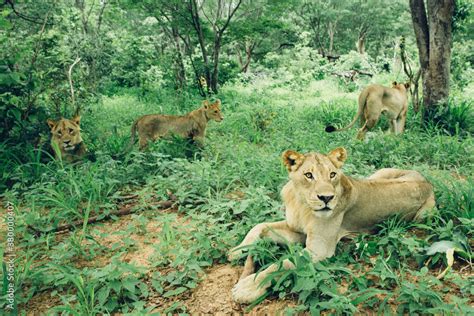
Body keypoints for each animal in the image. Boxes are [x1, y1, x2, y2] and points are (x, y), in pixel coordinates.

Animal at [228, 148, 436, 304]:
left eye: (332, 174)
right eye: (308, 175)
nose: (326, 198)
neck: (302, 203)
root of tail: (427, 181)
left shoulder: (319, 249)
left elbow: (283, 263)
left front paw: (248, 287)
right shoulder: (296, 231)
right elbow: (259, 226)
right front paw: (237, 250)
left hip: (424, 215)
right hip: (378, 173)